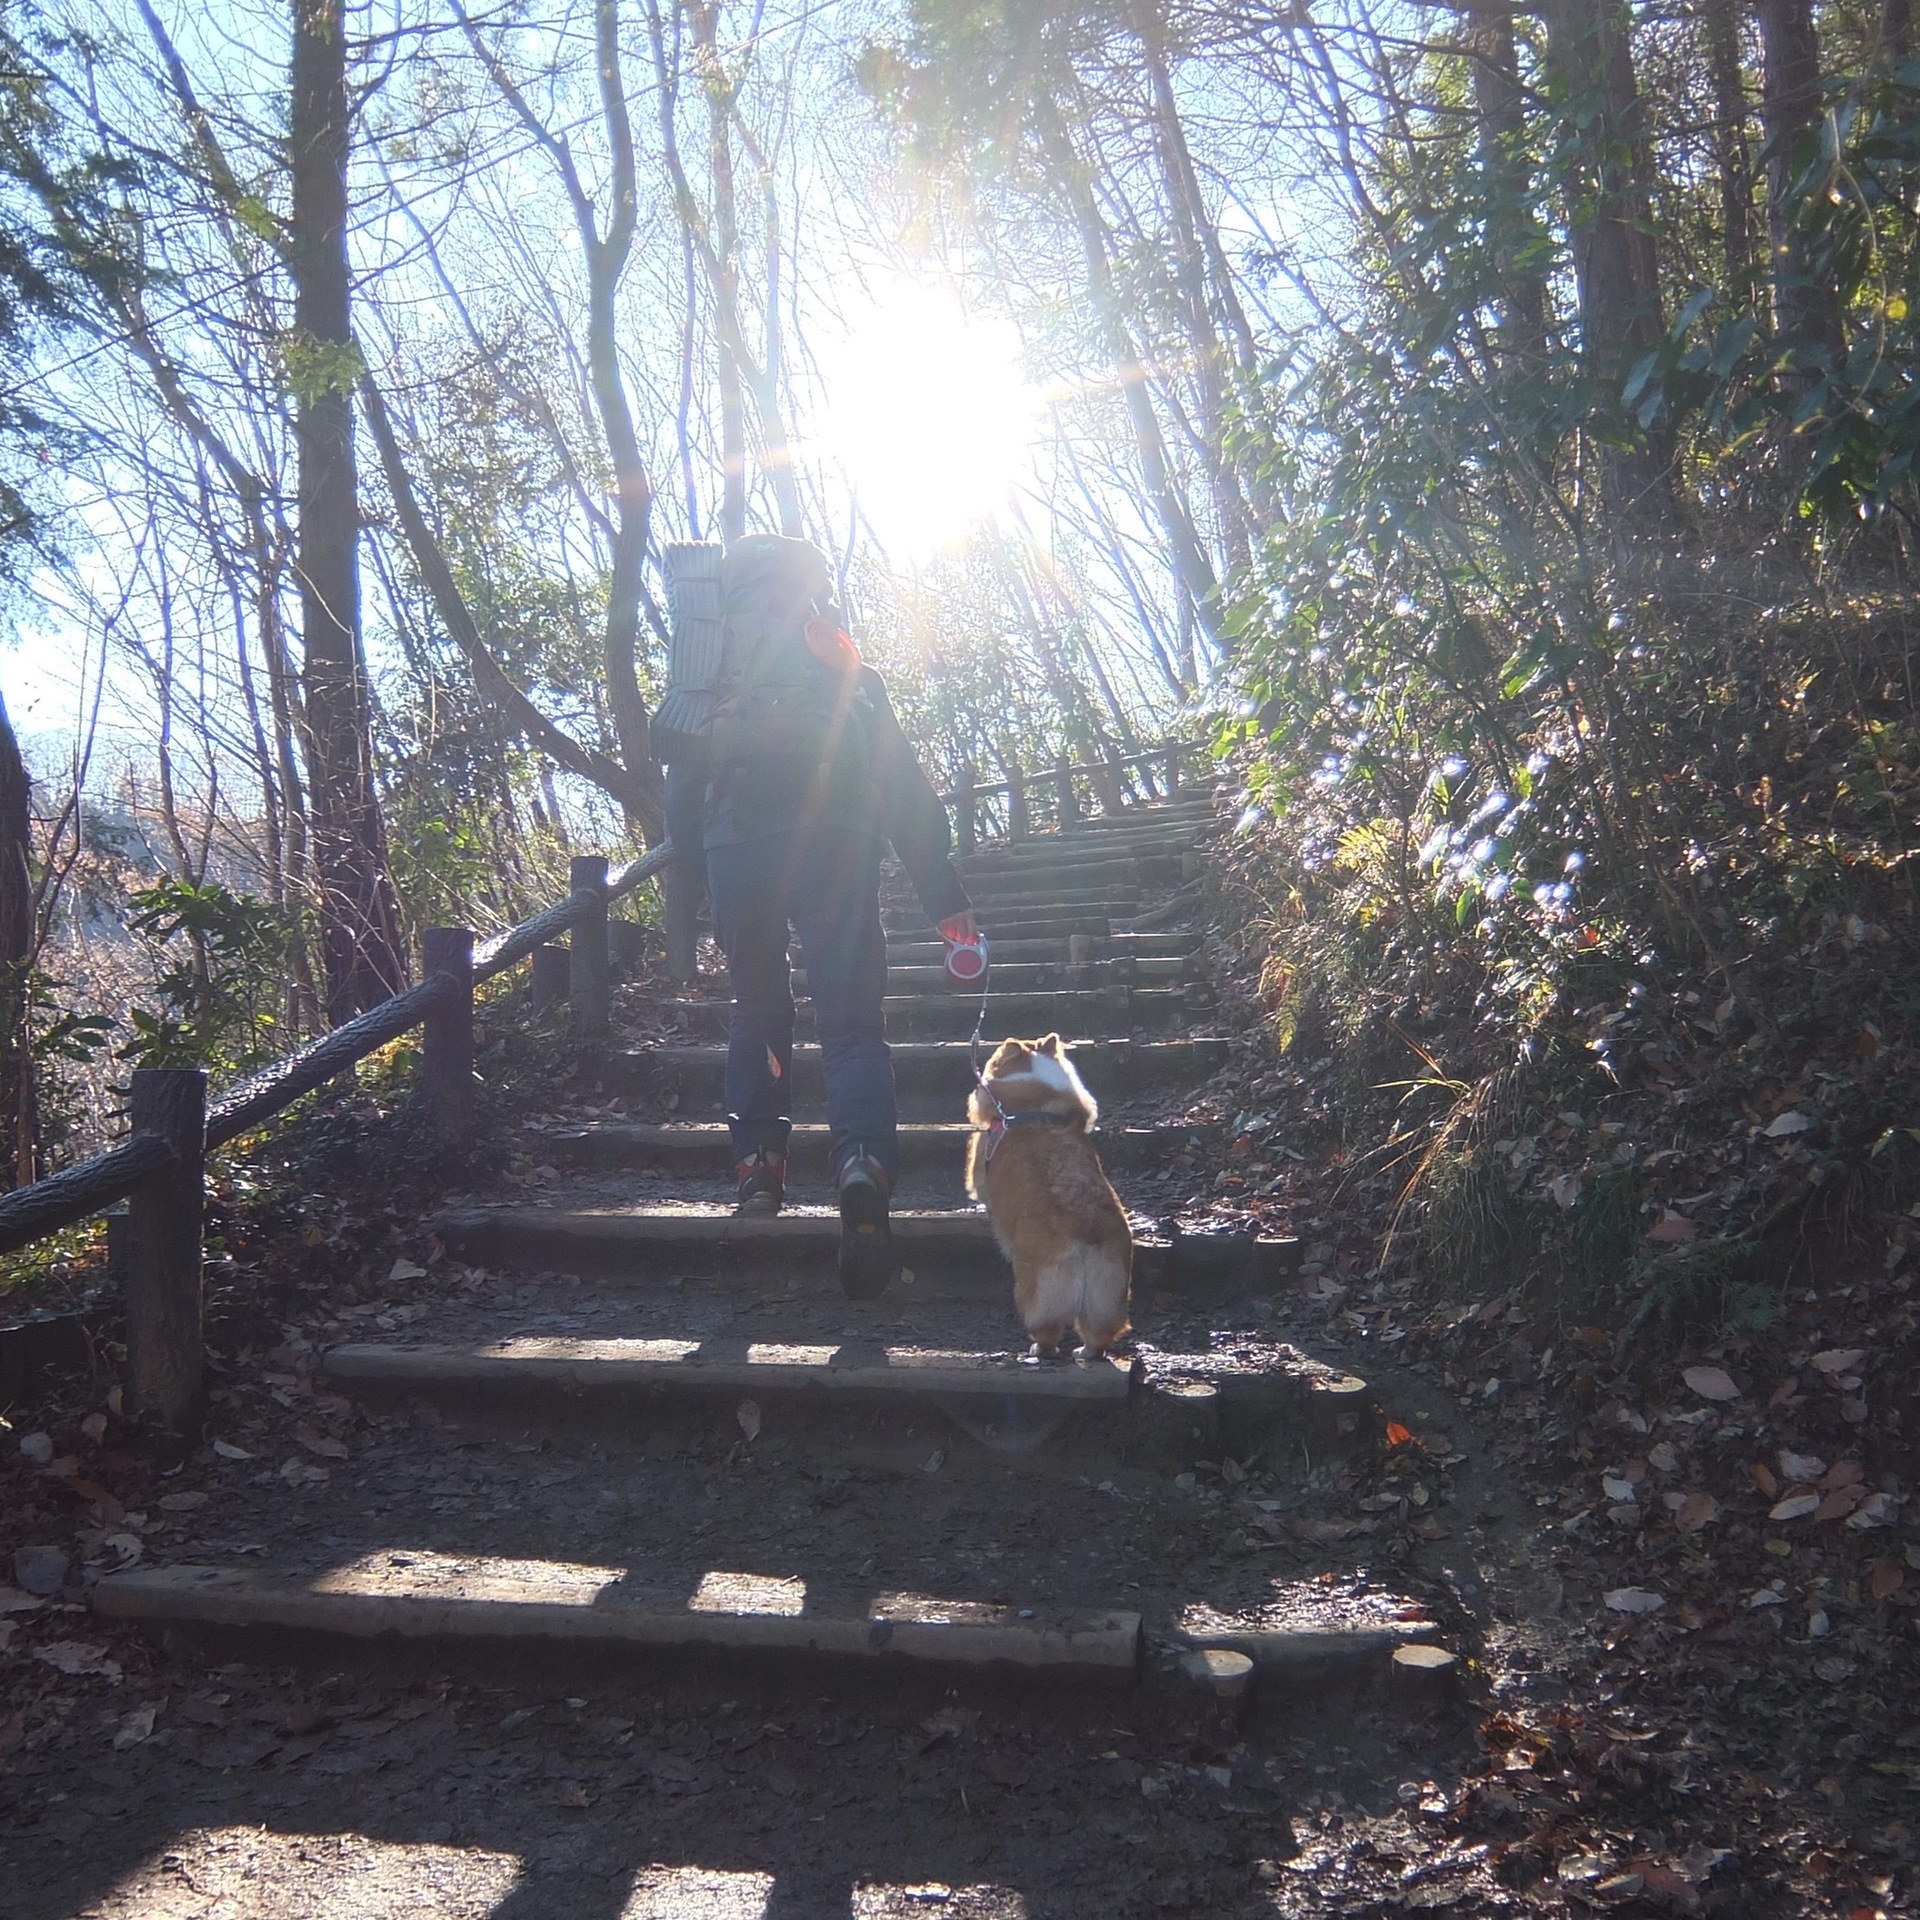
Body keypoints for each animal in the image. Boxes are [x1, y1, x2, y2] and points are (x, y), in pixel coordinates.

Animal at [967, 1036, 1128, 1367]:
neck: (1036, 1103)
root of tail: (1087, 1231)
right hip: (1108, 1296)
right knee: (1098, 1336)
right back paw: (1086, 1352)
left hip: (1038, 1289)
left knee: (1047, 1329)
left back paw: (1039, 1350)